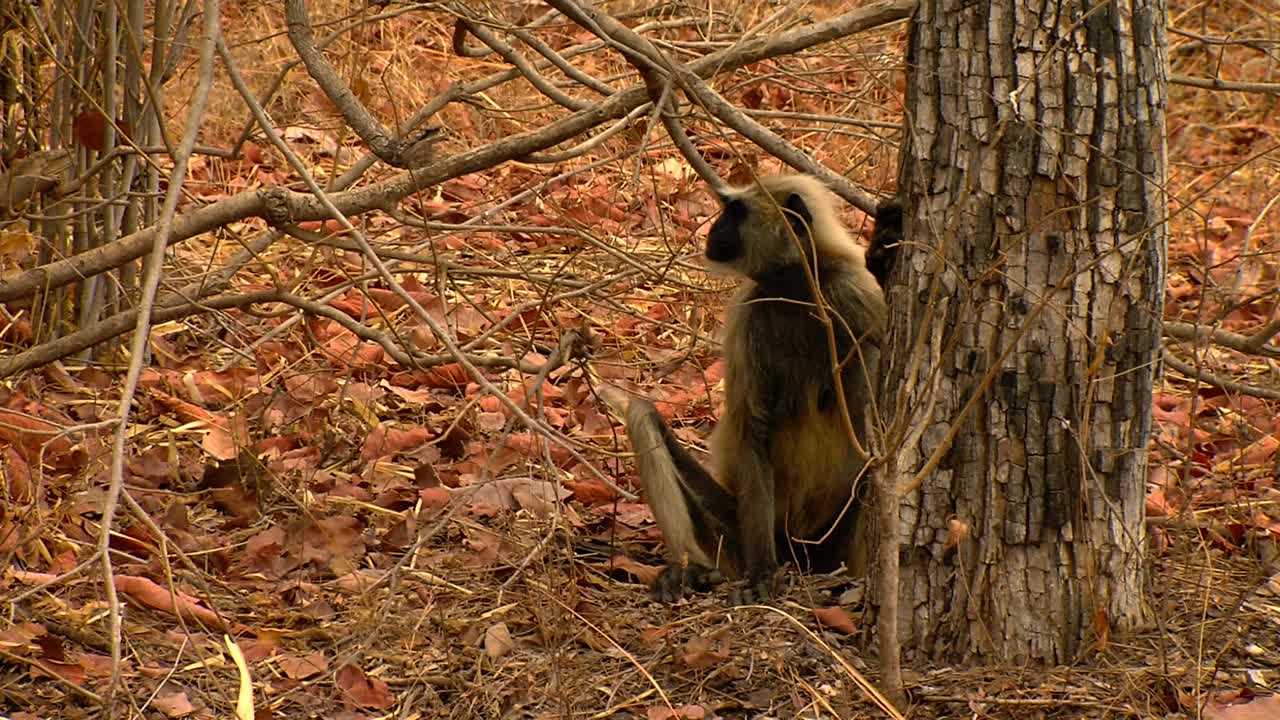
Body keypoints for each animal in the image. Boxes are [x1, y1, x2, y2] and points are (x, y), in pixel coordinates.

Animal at [619, 172, 890, 599]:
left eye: (735, 213)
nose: (714, 228)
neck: (798, 288)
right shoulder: (750, 313)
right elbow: (752, 429)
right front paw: (762, 572)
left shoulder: (856, 294)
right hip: (737, 538)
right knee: (642, 413)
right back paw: (690, 569)